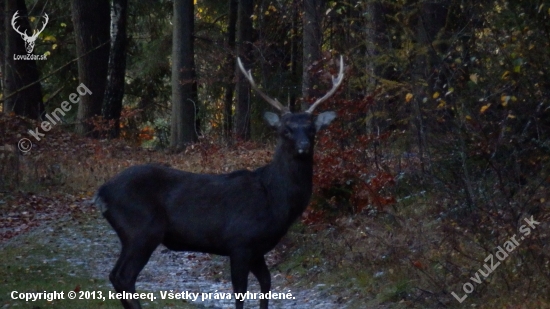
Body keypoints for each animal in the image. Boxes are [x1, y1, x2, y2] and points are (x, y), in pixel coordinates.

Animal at [94, 56, 344, 308]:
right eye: (286, 129)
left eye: (312, 129)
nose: (303, 147)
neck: (273, 198)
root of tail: (102, 193)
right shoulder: (240, 242)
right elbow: (240, 292)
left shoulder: (258, 249)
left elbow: (266, 284)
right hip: (142, 229)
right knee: (124, 276)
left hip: (132, 234)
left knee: (116, 275)